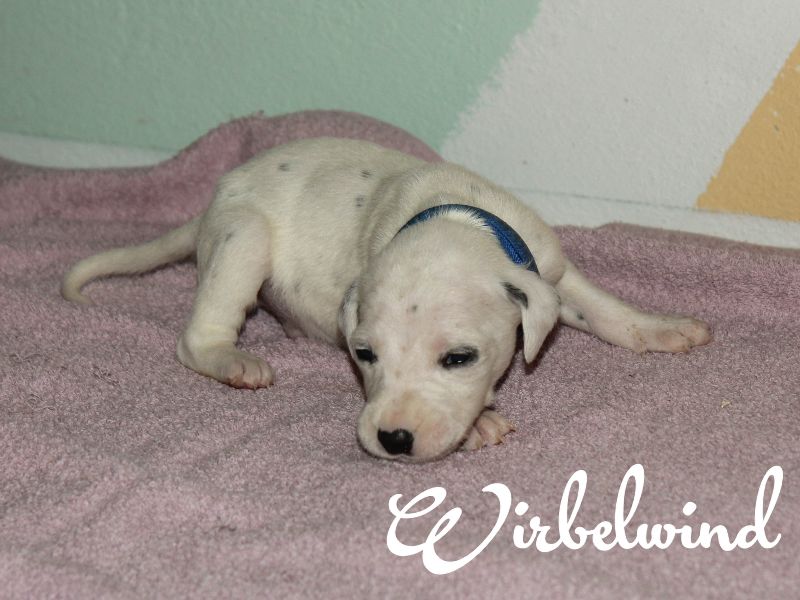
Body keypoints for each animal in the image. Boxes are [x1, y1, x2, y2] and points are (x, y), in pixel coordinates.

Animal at [62, 137, 711, 462]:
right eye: (364, 354)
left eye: (459, 358)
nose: (394, 440)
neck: (456, 216)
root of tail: (214, 203)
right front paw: (480, 424)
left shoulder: (547, 268)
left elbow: (601, 307)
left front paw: (660, 328)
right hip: (242, 239)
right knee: (199, 335)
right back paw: (232, 359)